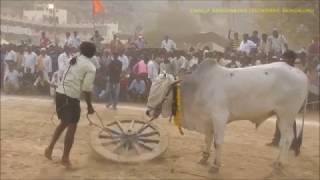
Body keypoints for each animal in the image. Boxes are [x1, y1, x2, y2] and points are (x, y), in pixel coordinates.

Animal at [146, 59, 308, 172]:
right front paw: (204, 158)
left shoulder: (219, 117)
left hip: (286, 116)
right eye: (152, 86)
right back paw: (277, 162)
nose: (148, 111)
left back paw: (280, 164)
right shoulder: (208, 120)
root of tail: (301, 74)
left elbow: (217, 142)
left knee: (287, 139)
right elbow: (207, 139)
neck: (198, 88)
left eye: (161, 89)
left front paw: (215, 166)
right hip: (281, 117)